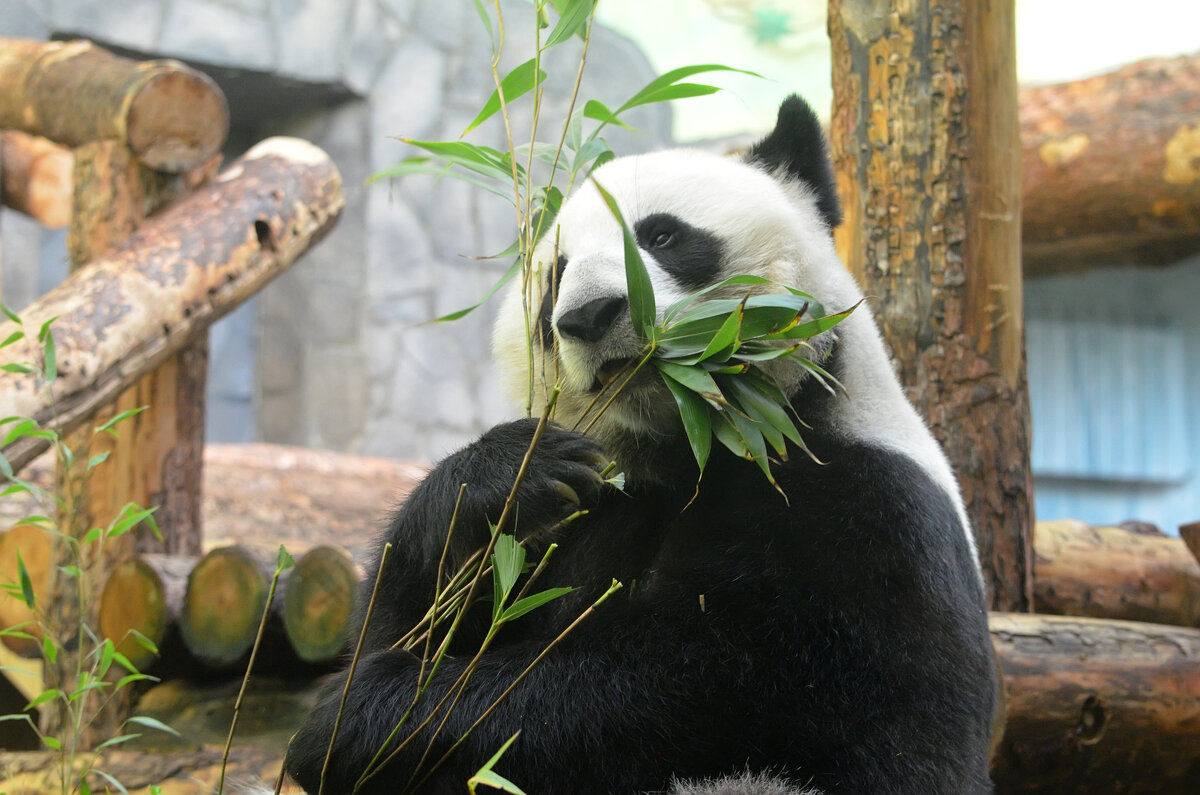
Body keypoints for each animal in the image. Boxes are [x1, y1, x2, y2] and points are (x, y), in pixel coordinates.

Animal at [285, 96, 998, 792]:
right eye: (555, 277)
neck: (698, 446)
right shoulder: (595, 513)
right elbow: (403, 622)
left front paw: (370, 721)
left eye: (661, 236)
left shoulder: (861, 512)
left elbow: (698, 683)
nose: (589, 315)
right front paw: (510, 476)